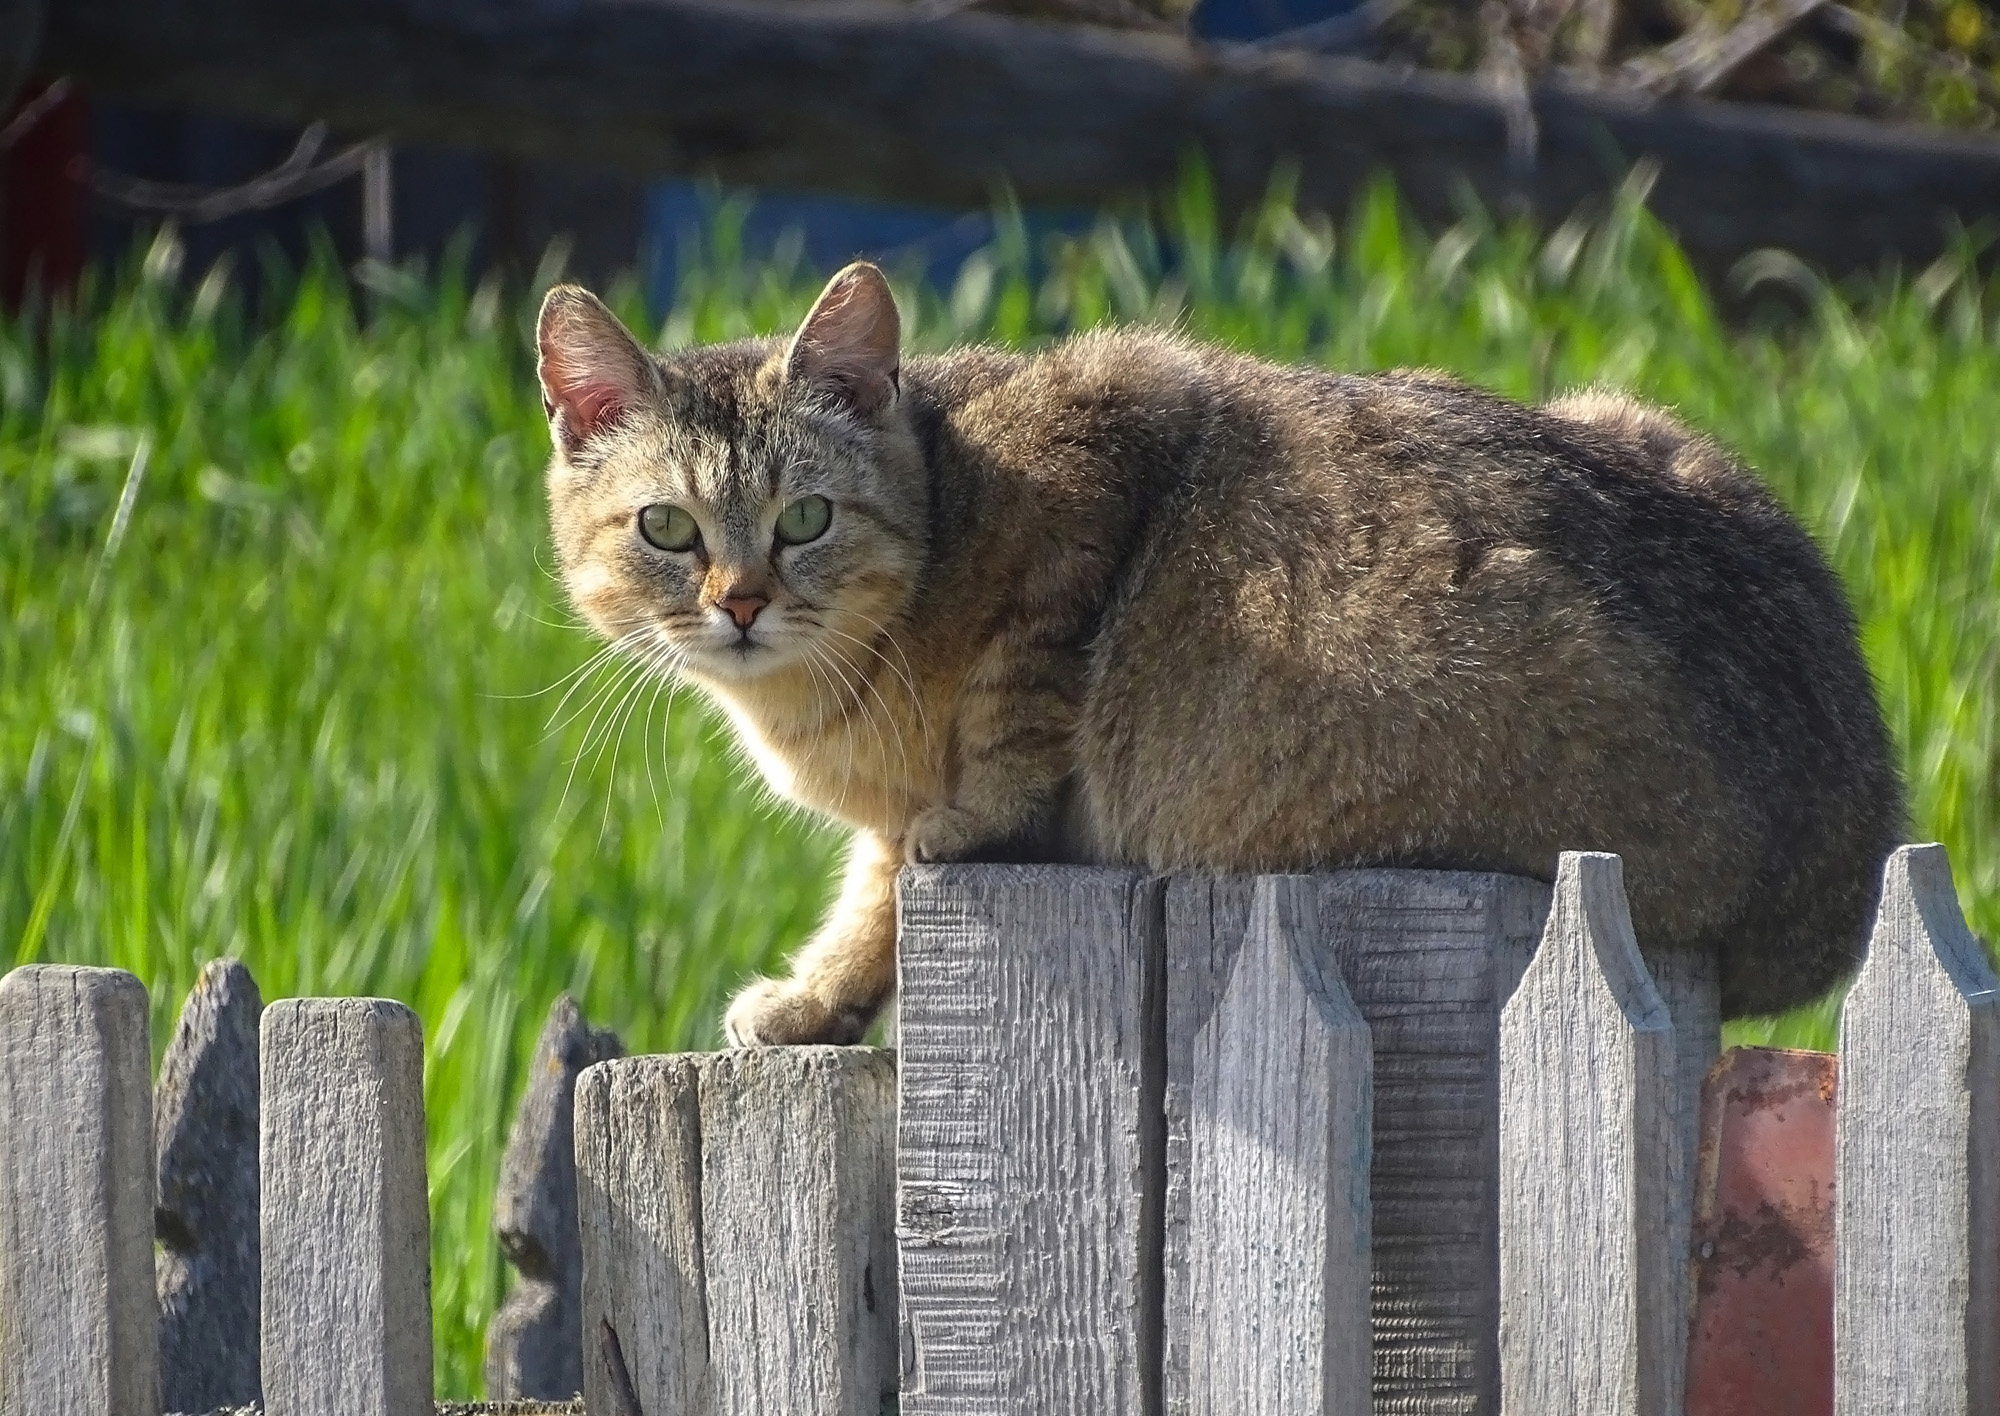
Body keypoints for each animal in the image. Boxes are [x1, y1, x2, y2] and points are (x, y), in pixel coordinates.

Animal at [536, 262, 1904, 1040]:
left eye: (805, 517)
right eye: (666, 527)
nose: (740, 601)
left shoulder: (1111, 421)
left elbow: (1001, 741)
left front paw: (972, 821)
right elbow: (870, 899)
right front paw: (819, 998)